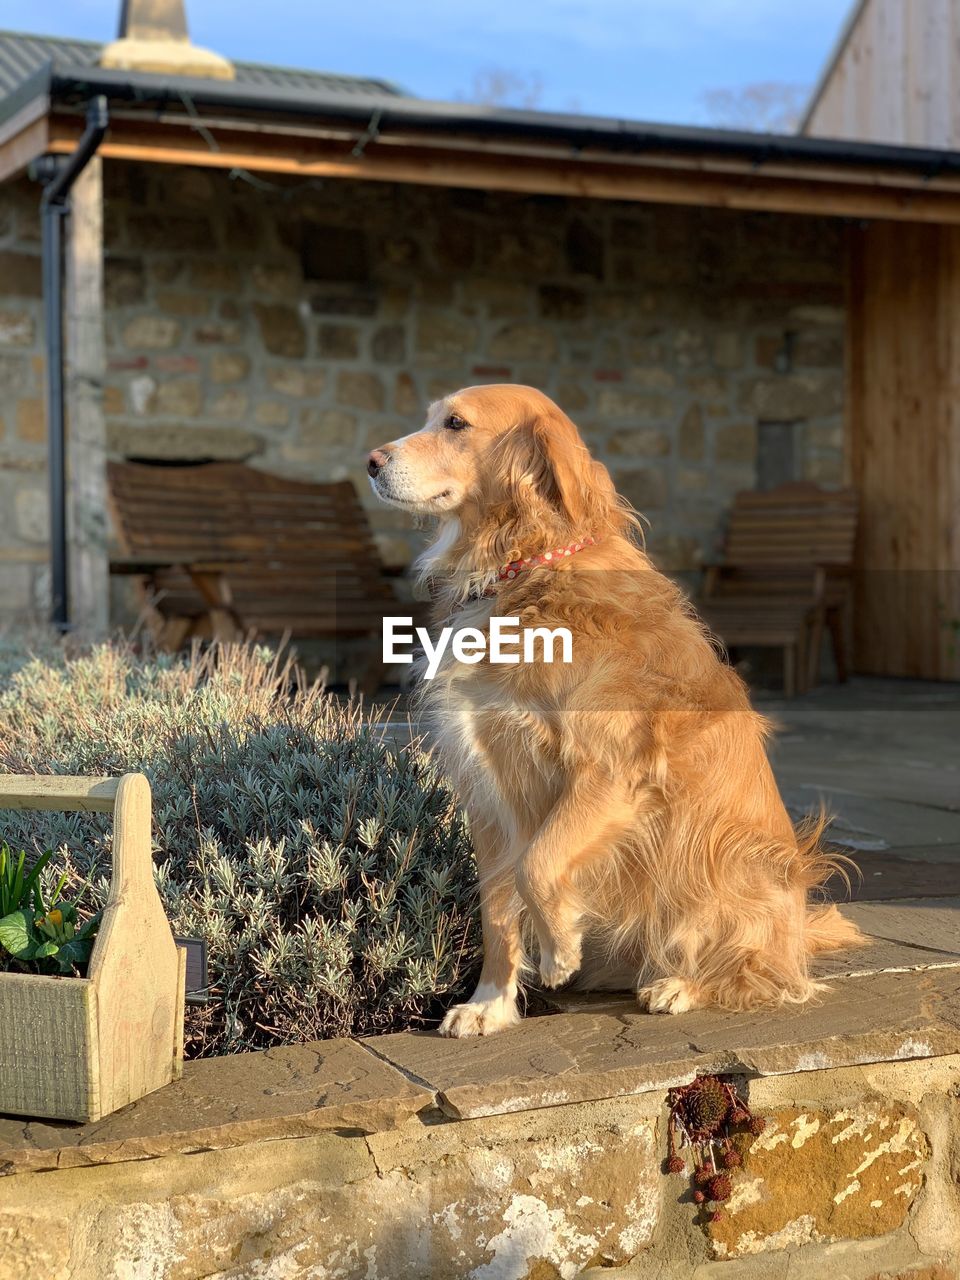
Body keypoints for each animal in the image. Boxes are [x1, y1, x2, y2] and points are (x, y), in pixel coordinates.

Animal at [368, 384, 865, 1034]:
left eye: (455, 424)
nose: (372, 460)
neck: (528, 566)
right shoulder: (489, 784)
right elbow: (498, 907)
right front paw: (490, 1005)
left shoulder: (610, 768)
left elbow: (538, 864)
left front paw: (558, 949)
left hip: (724, 858)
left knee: (767, 975)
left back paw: (682, 985)